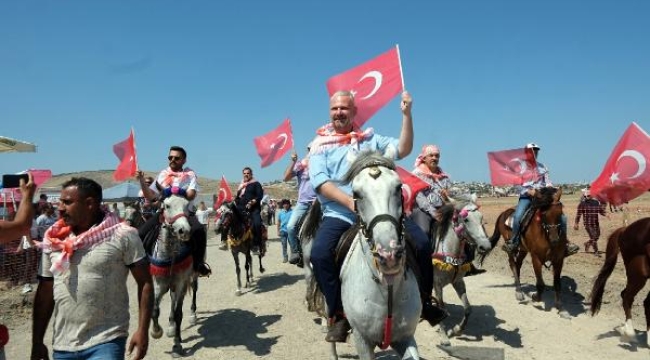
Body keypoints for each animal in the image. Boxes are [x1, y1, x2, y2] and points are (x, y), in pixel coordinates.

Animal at [147, 195, 194, 358]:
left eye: (187, 205)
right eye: (166, 206)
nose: (183, 231)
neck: (169, 256)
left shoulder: (179, 284)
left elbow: (178, 313)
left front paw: (177, 344)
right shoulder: (158, 285)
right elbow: (154, 310)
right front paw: (156, 332)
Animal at [300, 152, 420, 360]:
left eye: (398, 188)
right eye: (356, 194)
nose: (388, 254)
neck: (387, 287)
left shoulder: (404, 337)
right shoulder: (362, 340)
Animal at [430, 194, 492, 346]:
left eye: (481, 218)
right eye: (466, 219)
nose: (485, 246)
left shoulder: (458, 281)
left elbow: (468, 308)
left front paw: (456, 330)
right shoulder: (437, 284)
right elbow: (442, 308)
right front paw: (444, 337)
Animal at [480, 187, 568, 316]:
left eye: (560, 212)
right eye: (543, 213)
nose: (555, 239)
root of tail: (504, 213)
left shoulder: (559, 259)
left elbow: (557, 283)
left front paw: (561, 309)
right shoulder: (536, 258)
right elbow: (540, 284)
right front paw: (535, 297)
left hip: (523, 250)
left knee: (518, 265)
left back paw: (518, 287)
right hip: (511, 248)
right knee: (513, 264)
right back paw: (519, 292)